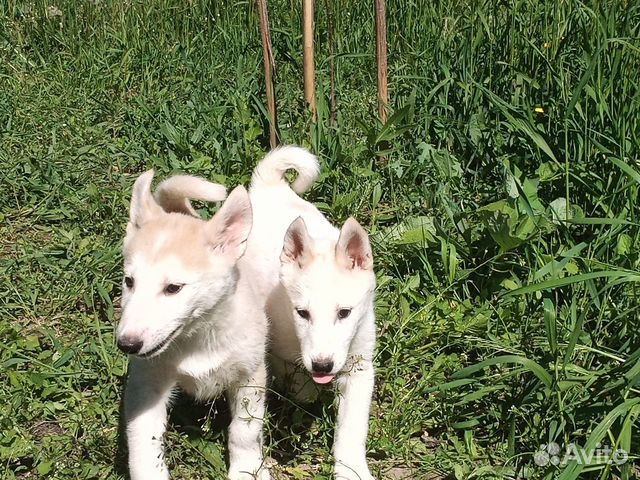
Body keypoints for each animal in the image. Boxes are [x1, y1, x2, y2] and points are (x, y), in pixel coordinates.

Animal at [117, 172, 270, 480]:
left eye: (173, 288)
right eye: (129, 282)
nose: (127, 344)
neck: (197, 338)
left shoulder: (251, 376)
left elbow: (244, 432)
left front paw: (247, 470)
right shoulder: (146, 384)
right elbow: (144, 442)